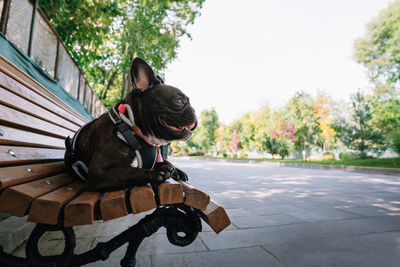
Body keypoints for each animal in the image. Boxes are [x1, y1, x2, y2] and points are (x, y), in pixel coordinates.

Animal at [64, 58, 197, 193]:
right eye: (179, 101)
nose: (194, 110)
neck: (132, 127)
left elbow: (164, 161)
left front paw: (175, 170)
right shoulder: (99, 173)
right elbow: (131, 172)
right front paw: (157, 173)